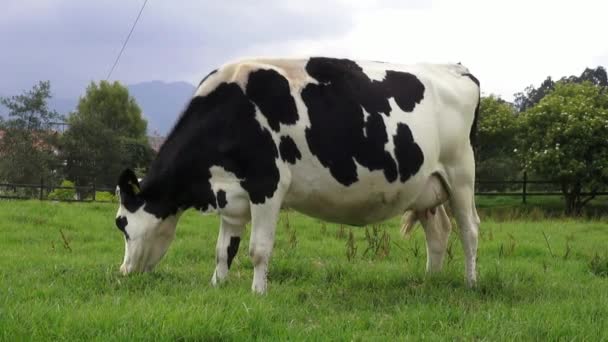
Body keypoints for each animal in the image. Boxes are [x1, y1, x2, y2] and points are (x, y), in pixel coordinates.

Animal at [115, 57, 480, 292]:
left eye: (122, 225)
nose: (124, 271)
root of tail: (456, 68)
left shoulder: (268, 186)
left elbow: (258, 249)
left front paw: (257, 294)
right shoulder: (230, 195)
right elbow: (223, 250)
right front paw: (217, 286)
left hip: (461, 173)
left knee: (469, 228)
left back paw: (470, 283)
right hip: (427, 186)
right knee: (439, 231)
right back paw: (430, 281)